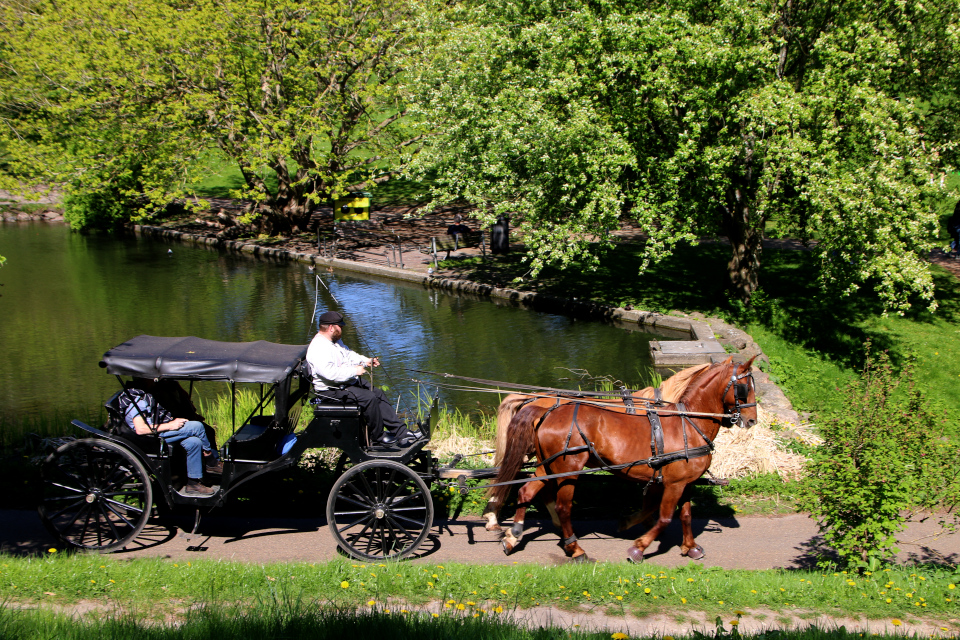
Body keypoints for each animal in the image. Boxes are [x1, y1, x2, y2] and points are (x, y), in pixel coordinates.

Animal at [484, 358, 752, 564]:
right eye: (744, 387)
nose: (751, 419)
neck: (687, 422)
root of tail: (541, 407)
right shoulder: (673, 482)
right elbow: (663, 516)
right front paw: (638, 546)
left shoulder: (682, 481)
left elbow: (682, 514)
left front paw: (690, 546)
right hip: (567, 469)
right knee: (561, 506)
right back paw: (573, 547)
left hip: (547, 464)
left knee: (527, 491)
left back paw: (514, 534)